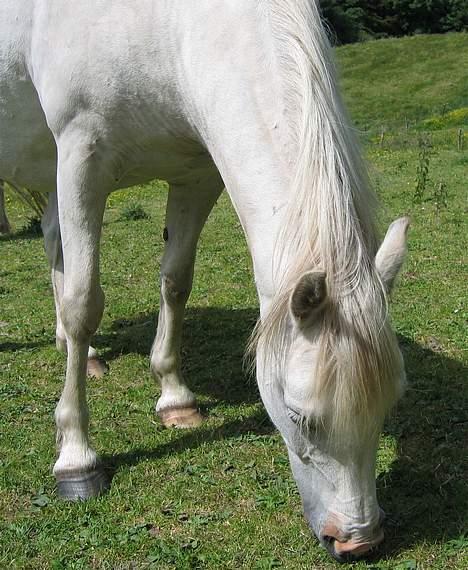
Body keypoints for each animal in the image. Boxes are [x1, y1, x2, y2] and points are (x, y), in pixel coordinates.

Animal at [0, 0, 408, 560]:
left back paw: (82, 353)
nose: (357, 541)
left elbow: (175, 281)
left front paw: (175, 398)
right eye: (298, 416)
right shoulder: (82, 157)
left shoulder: (195, 172)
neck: (165, 25)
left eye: (389, 403)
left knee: (54, 242)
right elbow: (85, 304)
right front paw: (77, 458)